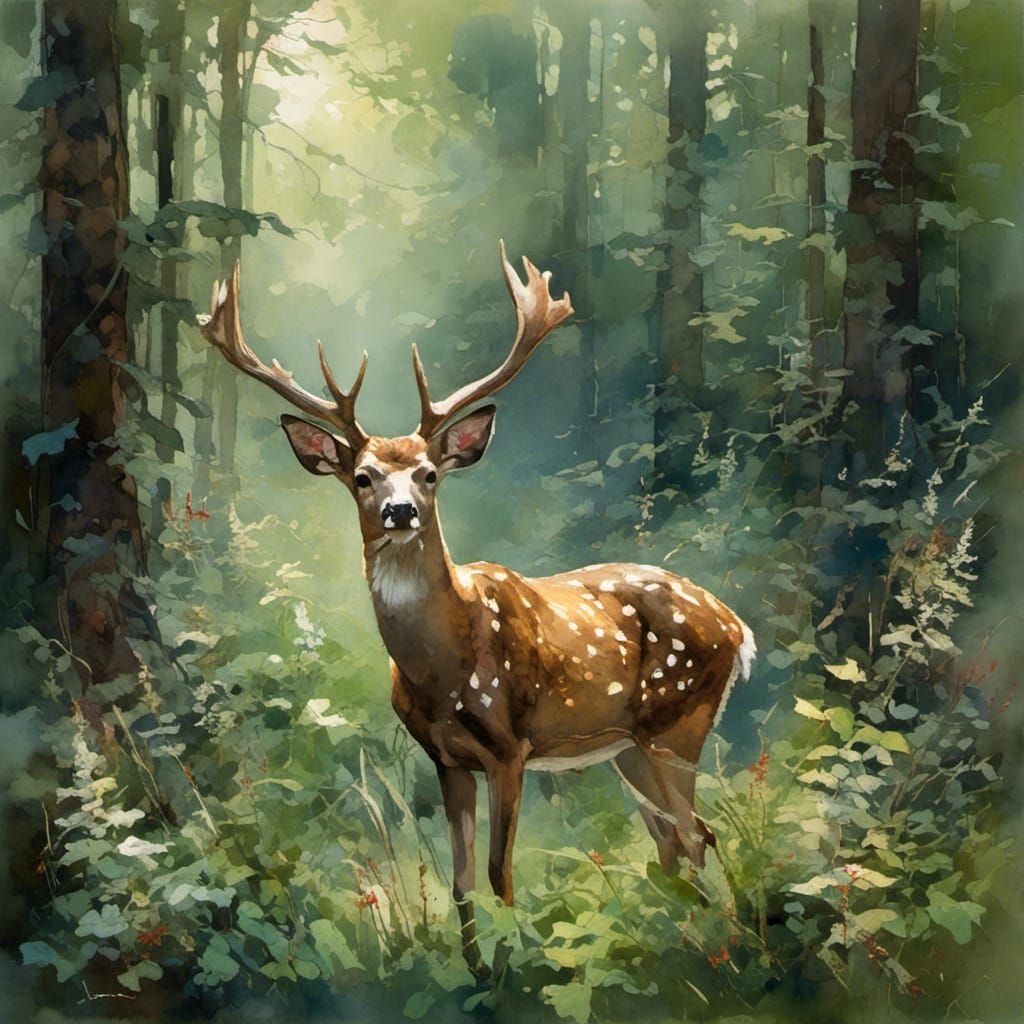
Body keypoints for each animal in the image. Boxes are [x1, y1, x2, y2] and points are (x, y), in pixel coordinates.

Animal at [197, 244, 755, 976]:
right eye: (363, 477)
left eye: (430, 473)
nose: (400, 511)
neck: (444, 667)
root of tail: (738, 627)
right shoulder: (446, 758)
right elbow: (461, 878)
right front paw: (475, 969)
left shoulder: (510, 747)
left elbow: (499, 874)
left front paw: (516, 963)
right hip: (629, 746)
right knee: (676, 841)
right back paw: (677, 941)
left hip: (678, 720)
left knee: (697, 834)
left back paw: (713, 948)